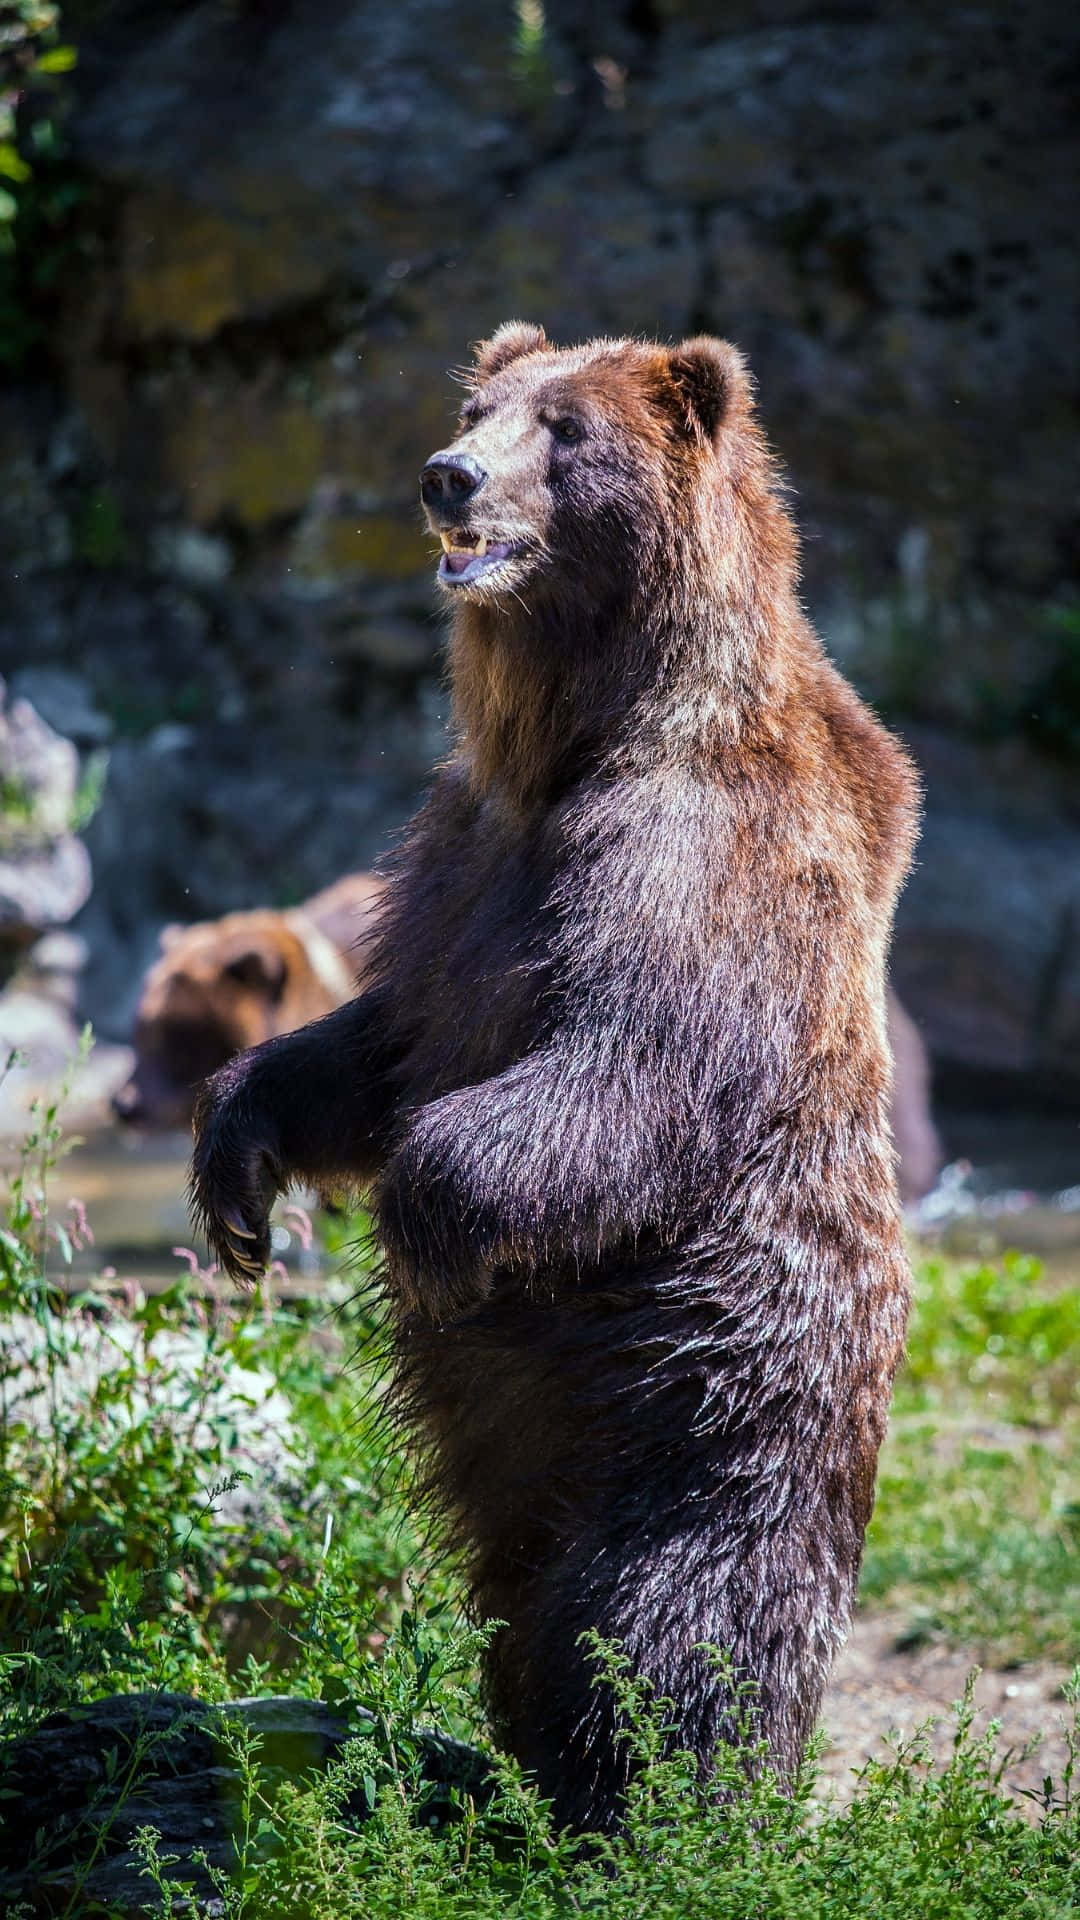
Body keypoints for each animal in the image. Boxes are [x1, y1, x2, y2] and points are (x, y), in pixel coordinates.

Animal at [191, 323, 920, 1833]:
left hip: (713, 1390)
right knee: (520, 1600)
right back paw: (509, 1781)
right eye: (482, 405)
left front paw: (422, 1229)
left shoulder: (702, 851)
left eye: (566, 430)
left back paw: (660, 1810)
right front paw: (236, 1166)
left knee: (668, 1613)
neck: (575, 729)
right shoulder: (456, 856)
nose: (447, 475)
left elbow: (622, 1069)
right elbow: (384, 1041)